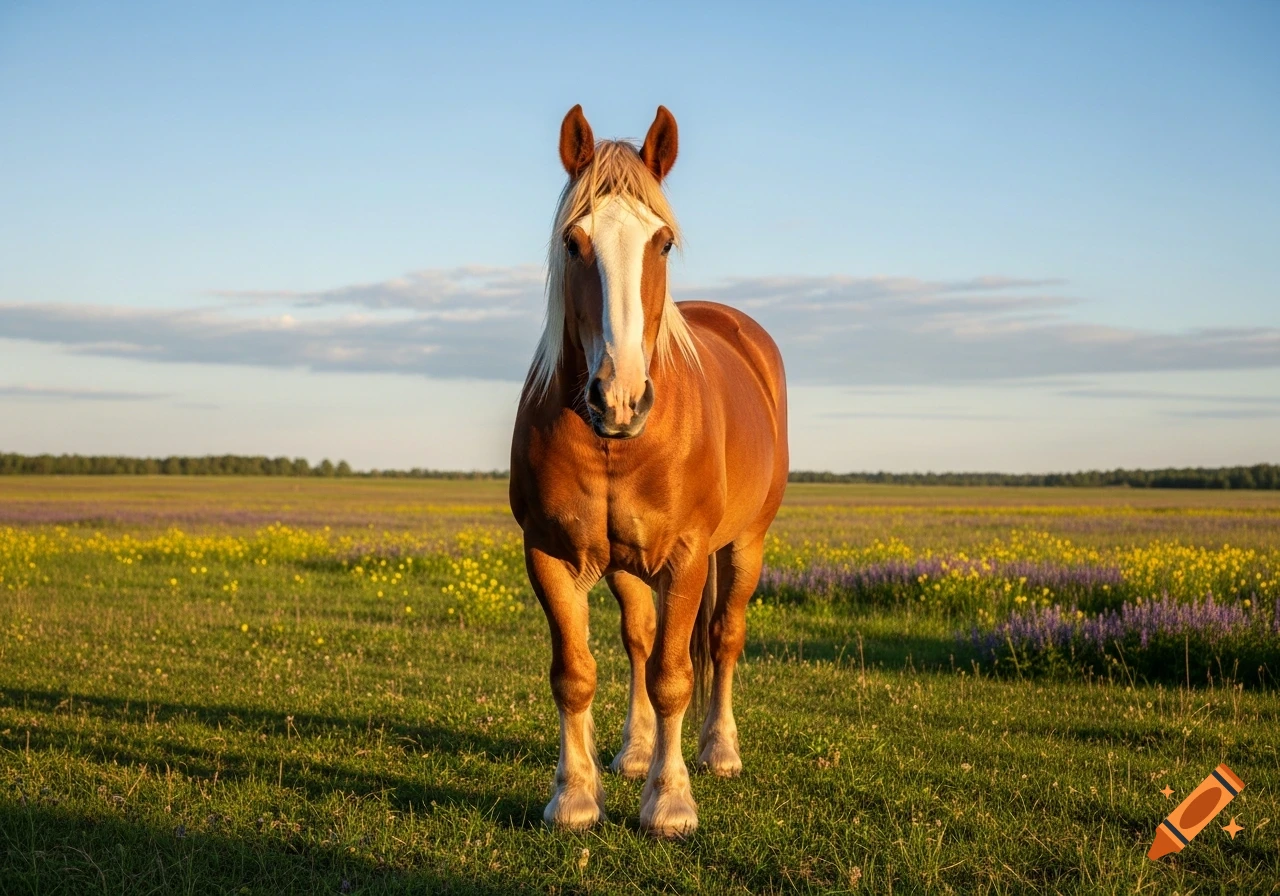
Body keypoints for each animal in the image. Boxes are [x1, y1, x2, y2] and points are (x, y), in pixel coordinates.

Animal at [509, 104, 788, 838]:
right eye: (573, 242)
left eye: (661, 243)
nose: (620, 397)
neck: (616, 445)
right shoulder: (549, 554)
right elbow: (576, 672)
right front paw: (575, 797)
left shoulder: (688, 557)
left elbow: (673, 676)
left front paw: (670, 802)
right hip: (626, 565)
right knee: (637, 640)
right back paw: (634, 752)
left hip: (745, 546)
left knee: (722, 639)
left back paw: (719, 749)